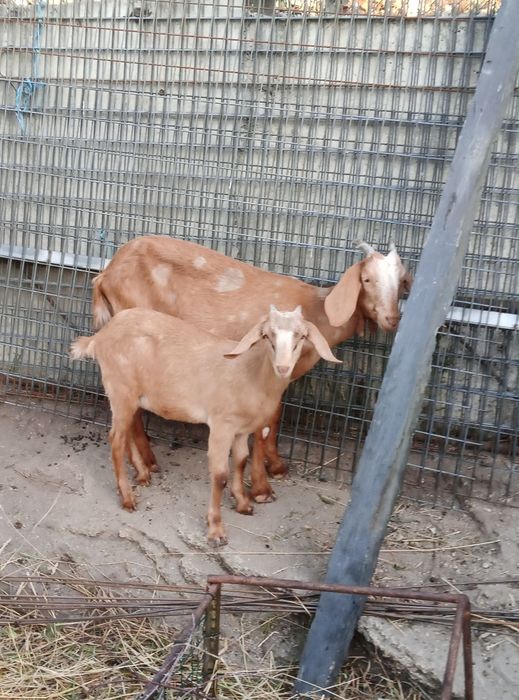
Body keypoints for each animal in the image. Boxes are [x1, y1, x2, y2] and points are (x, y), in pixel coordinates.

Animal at [71, 305, 339, 544]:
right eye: (267, 335)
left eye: (301, 336)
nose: (283, 367)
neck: (251, 373)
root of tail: (100, 336)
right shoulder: (222, 424)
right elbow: (220, 474)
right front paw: (216, 530)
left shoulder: (241, 429)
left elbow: (241, 460)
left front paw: (243, 503)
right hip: (120, 387)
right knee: (115, 438)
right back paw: (128, 498)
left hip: (130, 396)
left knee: (126, 431)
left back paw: (143, 473)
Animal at [92, 236, 412, 501]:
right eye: (367, 279)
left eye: (402, 282)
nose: (392, 318)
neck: (317, 311)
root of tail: (106, 274)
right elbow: (264, 426)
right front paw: (261, 488)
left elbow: (275, 417)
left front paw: (277, 466)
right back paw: (144, 468)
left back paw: (146, 463)